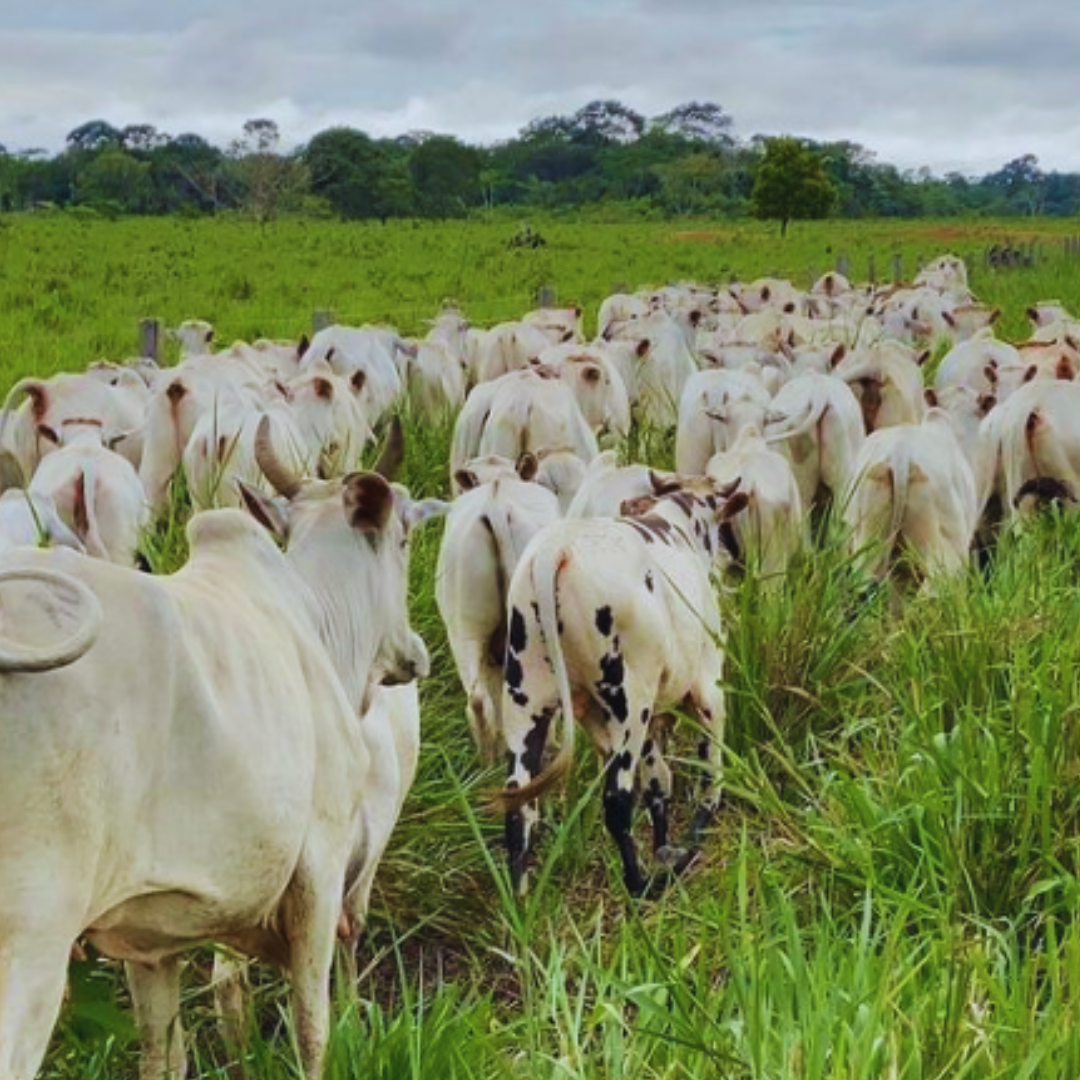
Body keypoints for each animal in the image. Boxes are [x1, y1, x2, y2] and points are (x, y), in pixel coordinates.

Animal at [0, 419, 438, 1080]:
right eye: (406, 537)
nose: (415, 655)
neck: (315, 618)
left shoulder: (148, 941)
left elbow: (165, 1057)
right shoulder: (321, 865)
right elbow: (314, 1031)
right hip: (32, 946)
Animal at [490, 477, 749, 897]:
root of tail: (554, 550)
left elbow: (659, 781)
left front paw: (664, 848)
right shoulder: (709, 686)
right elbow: (710, 766)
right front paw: (695, 834)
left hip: (526, 704)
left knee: (520, 809)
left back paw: (521, 904)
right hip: (630, 703)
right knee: (617, 800)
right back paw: (642, 885)